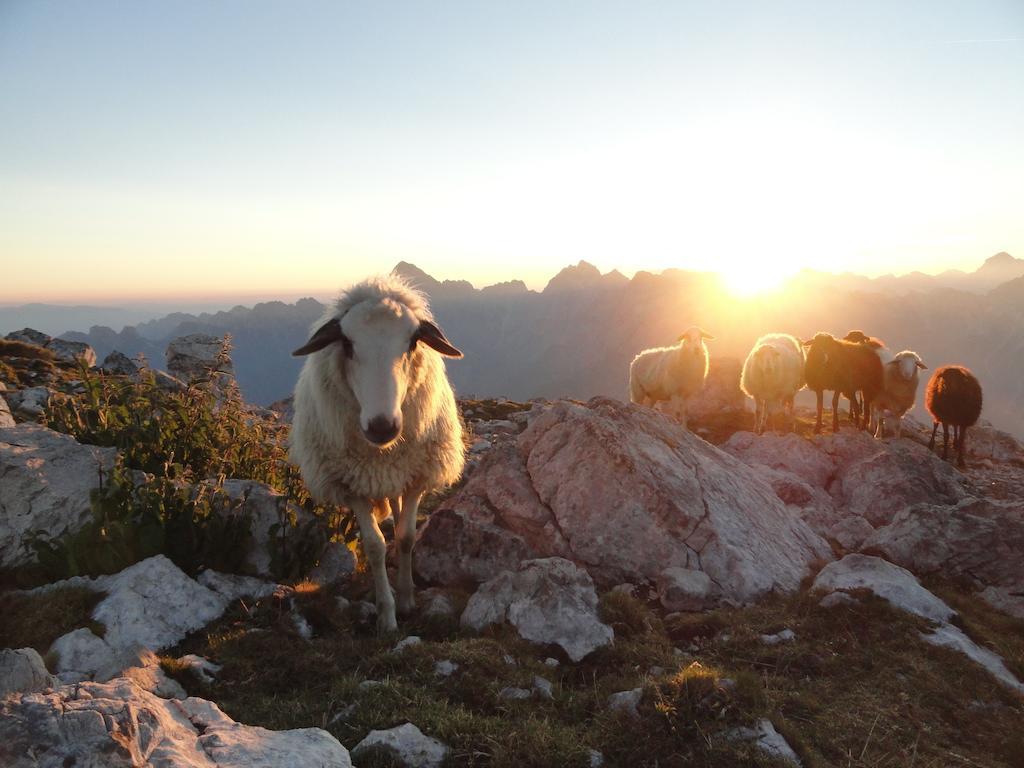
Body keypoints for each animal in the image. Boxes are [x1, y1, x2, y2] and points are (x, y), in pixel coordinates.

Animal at [288, 274, 464, 634]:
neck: (381, 451)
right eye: (347, 344)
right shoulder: (350, 484)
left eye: (412, 343)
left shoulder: (416, 476)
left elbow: (407, 536)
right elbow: (374, 546)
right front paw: (387, 615)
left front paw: (408, 599)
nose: (382, 427)